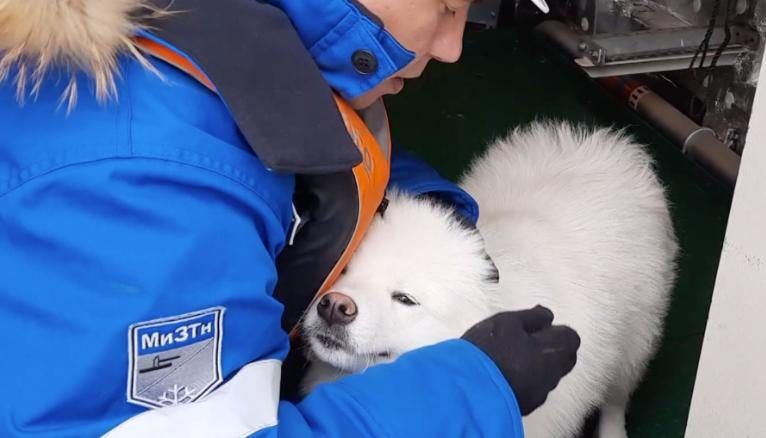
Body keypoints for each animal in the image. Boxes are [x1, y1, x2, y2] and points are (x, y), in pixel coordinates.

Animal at [298, 120, 680, 438]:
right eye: (344, 270)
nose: (334, 306)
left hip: (634, 342)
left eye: (405, 299)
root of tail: (608, 145)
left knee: (616, 399)